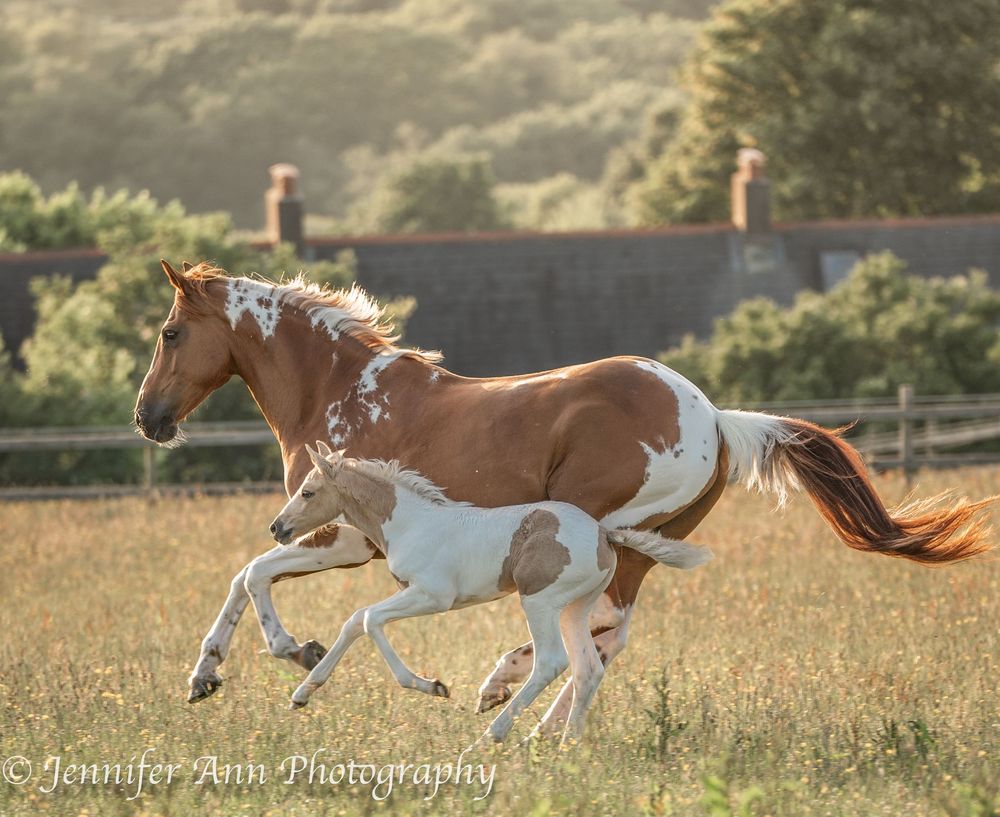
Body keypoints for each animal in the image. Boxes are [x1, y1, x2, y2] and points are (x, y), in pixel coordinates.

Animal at [269, 442, 712, 746]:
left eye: (307, 492)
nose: (277, 528)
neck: (409, 522)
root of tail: (604, 533)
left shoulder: (433, 596)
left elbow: (369, 619)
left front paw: (432, 686)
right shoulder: (413, 594)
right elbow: (354, 621)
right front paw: (302, 694)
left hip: (539, 601)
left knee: (551, 662)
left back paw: (492, 736)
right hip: (574, 608)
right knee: (587, 668)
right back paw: (565, 744)